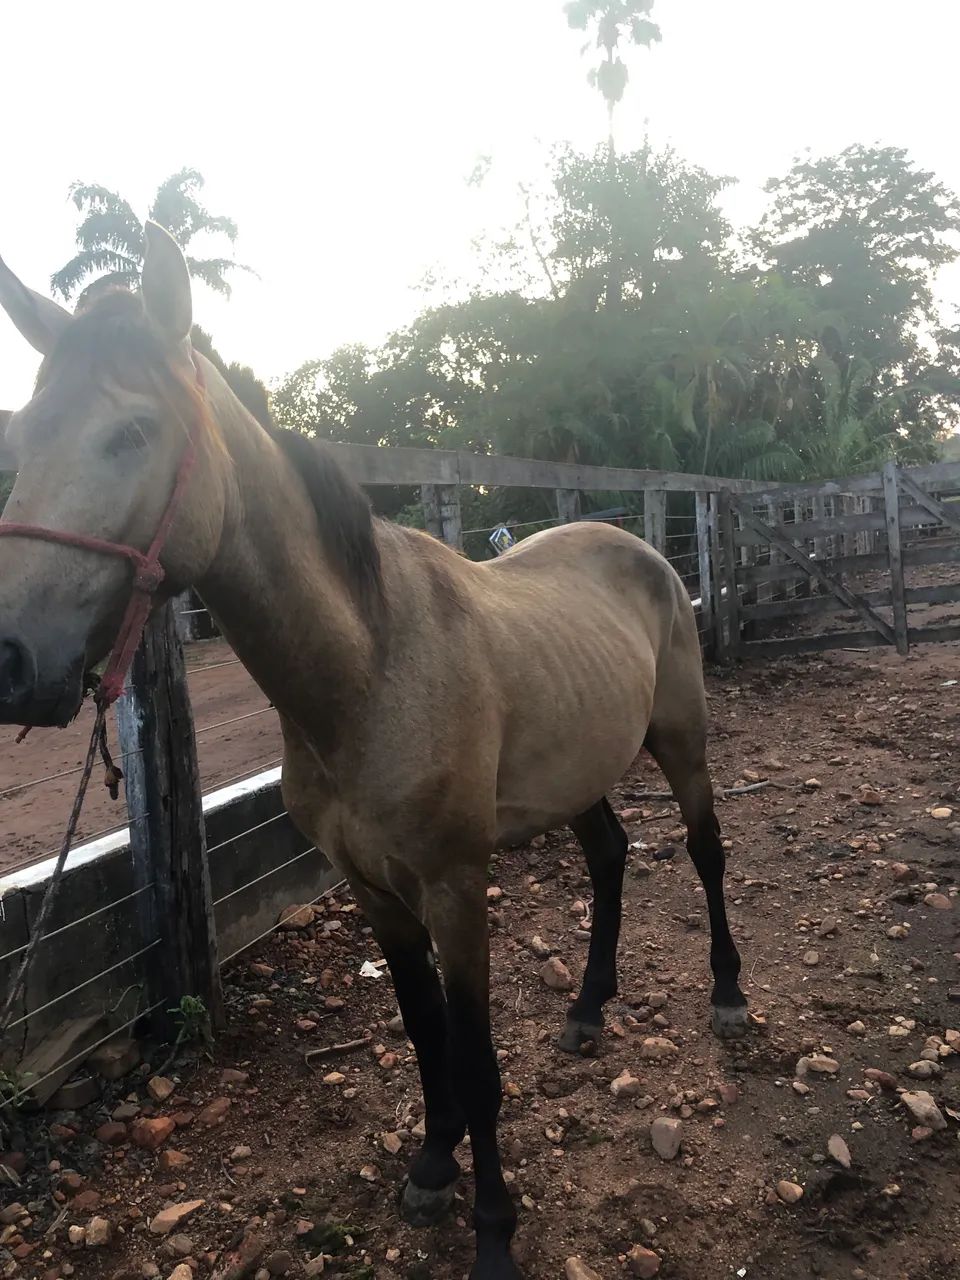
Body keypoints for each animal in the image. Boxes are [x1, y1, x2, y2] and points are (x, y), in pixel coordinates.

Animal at [0, 223, 747, 1280]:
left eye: (133, 433)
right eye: (24, 439)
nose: (10, 658)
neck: (369, 668)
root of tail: (641, 551)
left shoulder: (455, 888)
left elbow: (476, 1062)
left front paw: (493, 1231)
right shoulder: (374, 892)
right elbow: (424, 1036)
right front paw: (432, 1169)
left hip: (680, 743)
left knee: (705, 851)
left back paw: (727, 994)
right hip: (577, 771)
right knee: (609, 856)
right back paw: (588, 1009)